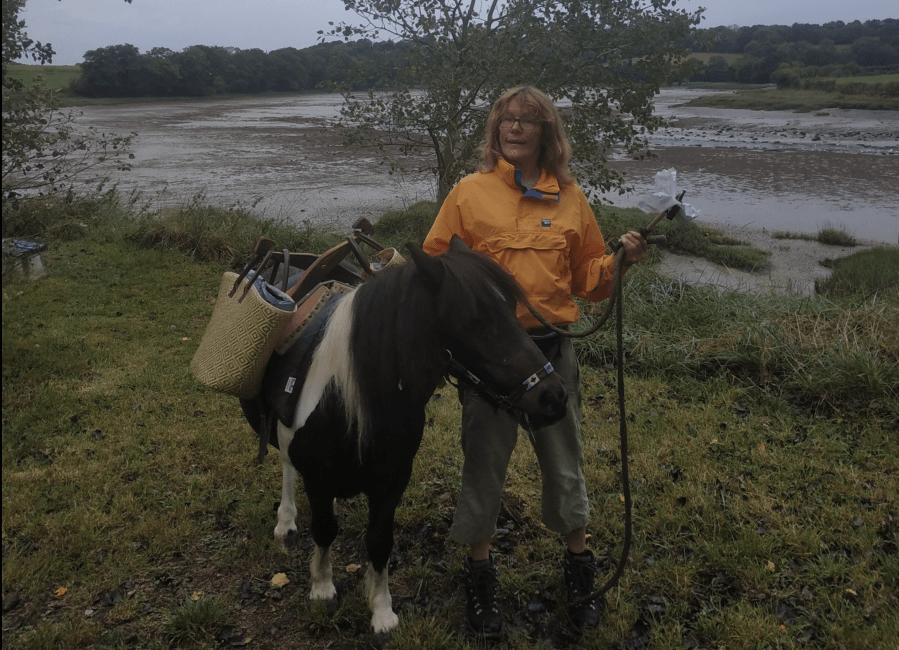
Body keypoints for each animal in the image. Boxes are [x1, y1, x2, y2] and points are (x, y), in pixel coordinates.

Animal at [258, 235, 564, 632]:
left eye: (513, 308)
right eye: (474, 320)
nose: (553, 398)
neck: (346, 399)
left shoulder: (392, 480)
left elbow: (379, 541)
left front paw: (382, 610)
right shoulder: (319, 477)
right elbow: (324, 529)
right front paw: (322, 587)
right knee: (285, 464)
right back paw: (286, 524)